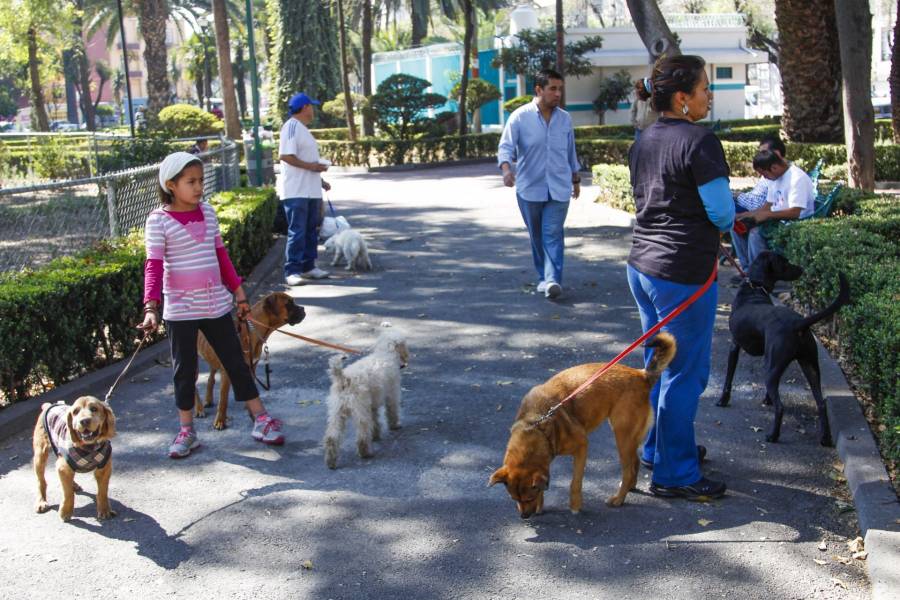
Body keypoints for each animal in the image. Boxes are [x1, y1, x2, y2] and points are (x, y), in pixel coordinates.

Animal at [195, 290, 308, 426]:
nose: (303, 309)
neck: (252, 331)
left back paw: (208, 399)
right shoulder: (227, 372)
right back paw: (199, 409)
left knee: (210, 378)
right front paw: (220, 421)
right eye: (288, 304)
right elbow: (223, 398)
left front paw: (253, 413)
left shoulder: (252, 367)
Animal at [324, 330, 408, 472]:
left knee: (332, 437)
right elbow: (392, 411)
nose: (403, 364)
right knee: (362, 436)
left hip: (336, 413)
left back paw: (331, 462)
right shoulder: (392, 394)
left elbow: (375, 421)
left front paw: (375, 436)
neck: (385, 353)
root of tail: (344, 379)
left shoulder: (372, 405)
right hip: (360, 411)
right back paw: (366, 453)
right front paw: (395, 425)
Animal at [716, 252, 852, 446]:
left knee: (781, 407)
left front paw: (723, 400)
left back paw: (773, 436)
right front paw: (767, 399)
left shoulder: (734, 346)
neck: (755, 288)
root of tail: (798, 323)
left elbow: (728, 379)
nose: (802, 269)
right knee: (821, 403)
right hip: (809, 366)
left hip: (772, 368)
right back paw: (824, 438)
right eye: (785, 262)